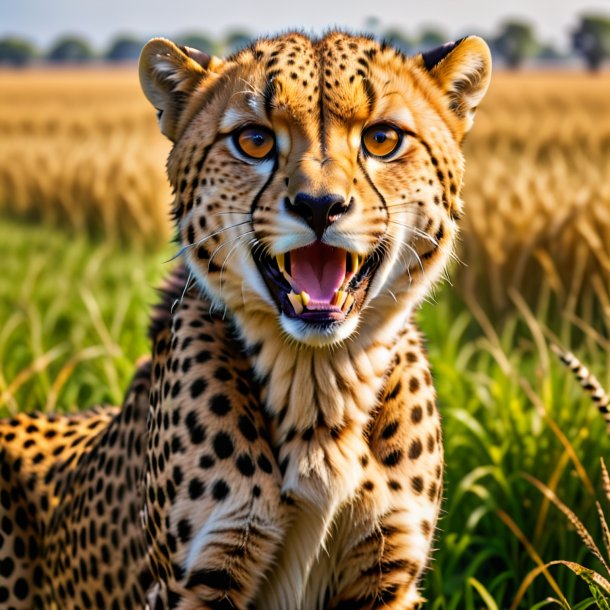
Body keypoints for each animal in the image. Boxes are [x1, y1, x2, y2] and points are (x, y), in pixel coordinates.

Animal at [0, 30, 490, 604]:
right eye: (254, 140)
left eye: (383, 139)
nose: (319, 205)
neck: (320, 387)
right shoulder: (196, 580)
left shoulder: (387, 578)